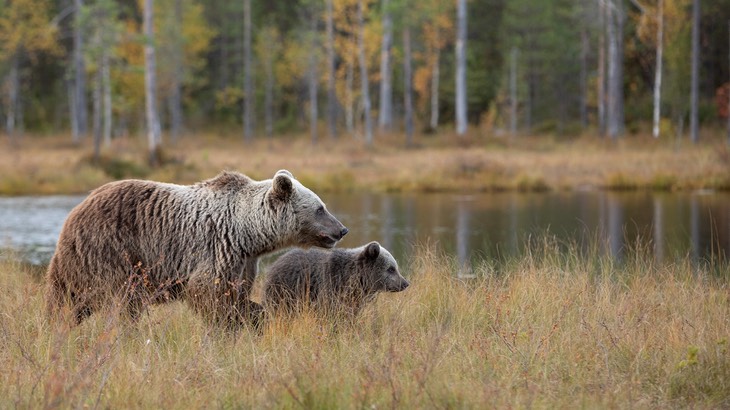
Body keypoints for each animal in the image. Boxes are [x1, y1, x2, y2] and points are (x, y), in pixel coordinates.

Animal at [45, 170, 346, 330]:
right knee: (121, 300)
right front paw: (232, 323)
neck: (249, 232)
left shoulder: (243, 260)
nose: (342, 229)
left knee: (69, 300)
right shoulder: (217, 247)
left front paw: (251, 315)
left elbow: (236, 292)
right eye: (320, 208)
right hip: (112, 251)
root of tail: (74, 212)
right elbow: (208, 294)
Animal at [262, 243, 410, 320]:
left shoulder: (353, 300)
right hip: (285, 290)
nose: (405, 283)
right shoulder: (331, 285)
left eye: (395, 267)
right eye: (391, 269)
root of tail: (276, 262)